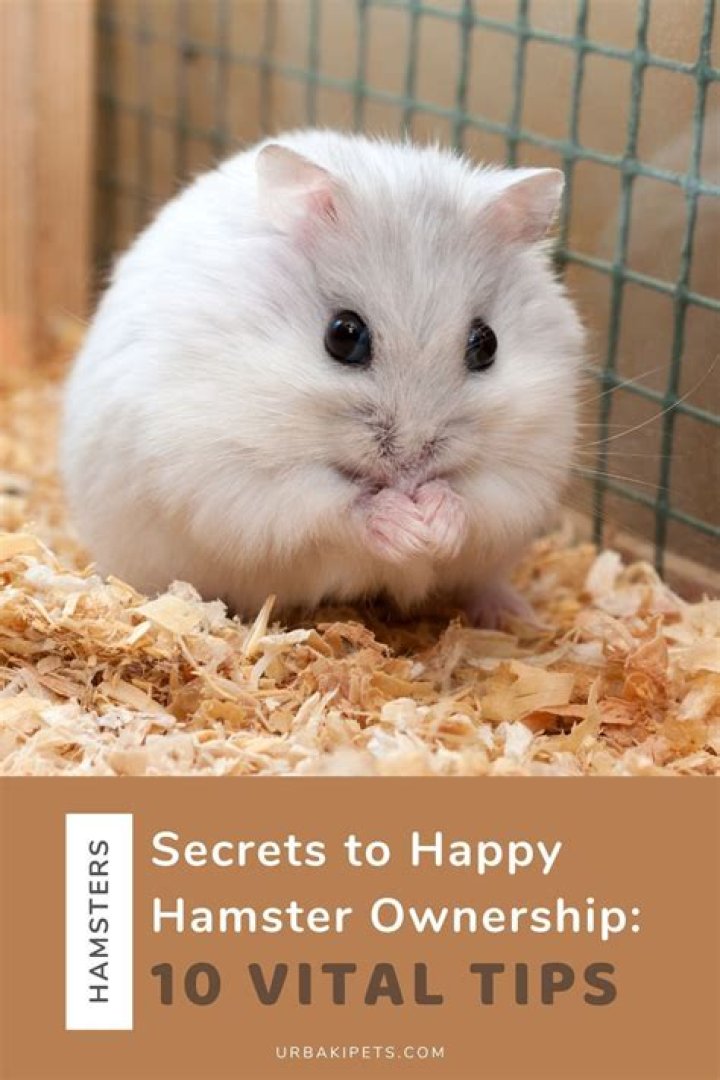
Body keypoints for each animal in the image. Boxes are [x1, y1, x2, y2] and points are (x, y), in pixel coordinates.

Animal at [61, 129, 584, 624]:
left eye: (487, 344)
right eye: (344, 336)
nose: (411, 469)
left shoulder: (530, 464)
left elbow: (478, 499)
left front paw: (434, 523)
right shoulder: (235, 472)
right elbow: (333, 507)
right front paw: (406, 526)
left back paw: (515, 616)